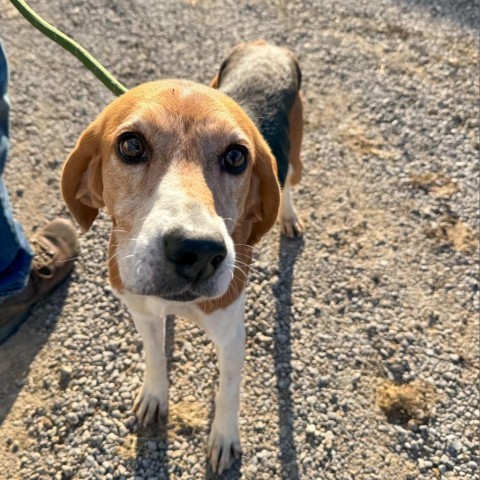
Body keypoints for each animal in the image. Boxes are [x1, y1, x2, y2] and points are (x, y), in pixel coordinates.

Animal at [61, 40, 304, 472]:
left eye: (237, 157)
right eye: (131, 145)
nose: (198, 250)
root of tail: (267, 46)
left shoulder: (231, 336)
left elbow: (228, 391)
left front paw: (224, 437)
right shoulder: (141, 311)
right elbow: (156, 356)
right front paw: (154, 395)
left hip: (296, 154)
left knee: (290, 183)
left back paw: (289, 216)